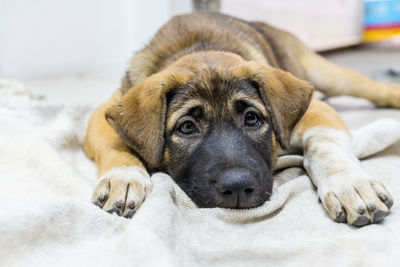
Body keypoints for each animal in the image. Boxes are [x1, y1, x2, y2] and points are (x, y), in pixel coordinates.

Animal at [83, 12, 396, 226]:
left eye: (252, 119)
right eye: (187, 127)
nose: (236, 188)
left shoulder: (317, 112)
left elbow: (326, 146)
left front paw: (350, 184)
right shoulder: (104, 110)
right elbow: (115, 143)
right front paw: (123, 178)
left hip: (328, 74)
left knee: (375, 88)